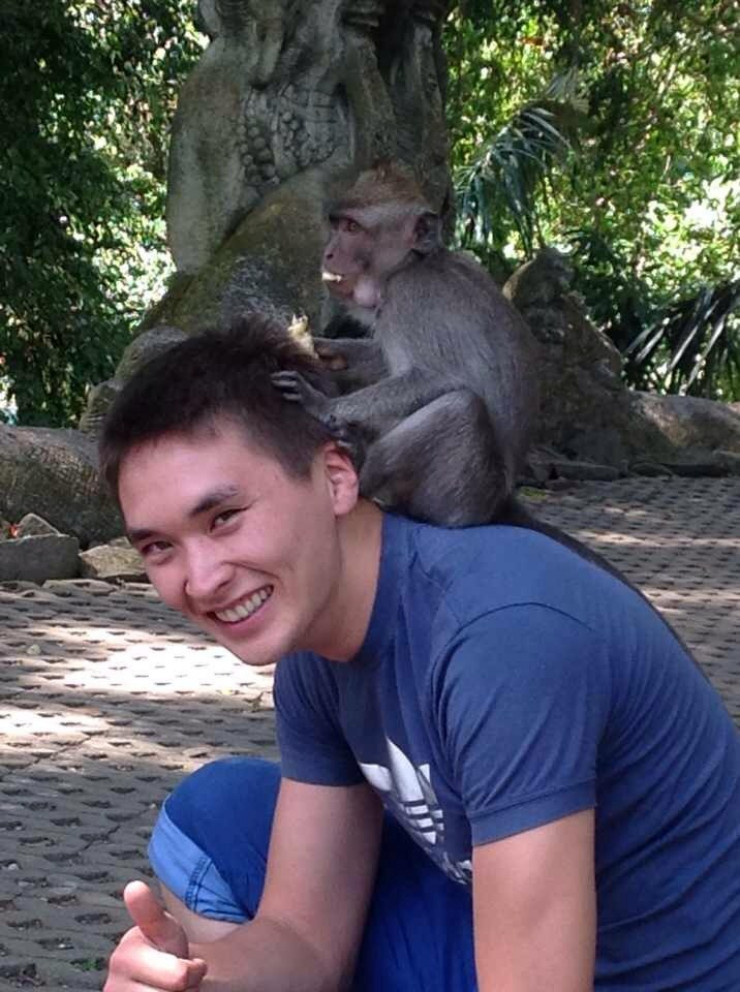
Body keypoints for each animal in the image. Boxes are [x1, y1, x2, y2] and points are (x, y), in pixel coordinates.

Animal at [273, 162, 539, 526]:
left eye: (352, 228)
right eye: (337, 225)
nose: (328, 253)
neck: (411, 264)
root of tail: (499, 504)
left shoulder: (408, 297)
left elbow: (437, 377)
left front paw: (322, 404)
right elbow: (382, 358)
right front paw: (319, 345)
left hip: (462, 491)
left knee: (460, 408)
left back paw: (360, 468)